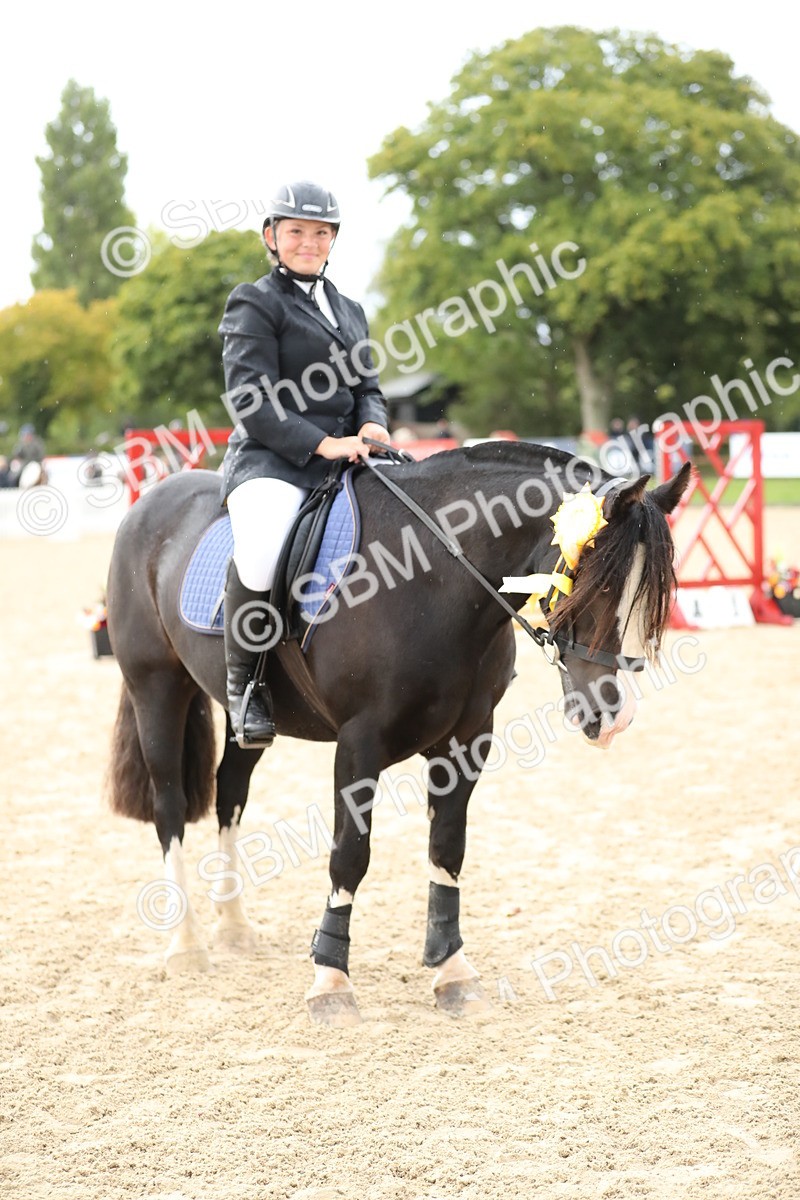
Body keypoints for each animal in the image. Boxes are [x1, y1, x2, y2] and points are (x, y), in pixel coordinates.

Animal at [106, 441, 691, 1025]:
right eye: (602, 584)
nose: (615, 717)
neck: (435, 579)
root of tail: (149, 500)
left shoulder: (467, 740)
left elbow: (447, 847)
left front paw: (453, 972)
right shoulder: (358, 744)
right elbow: (350, 853)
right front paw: (331, 981)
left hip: (245, 724)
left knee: (230, 792)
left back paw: (233, 928)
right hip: (156, 689)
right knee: (169, 805)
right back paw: (186, 945)